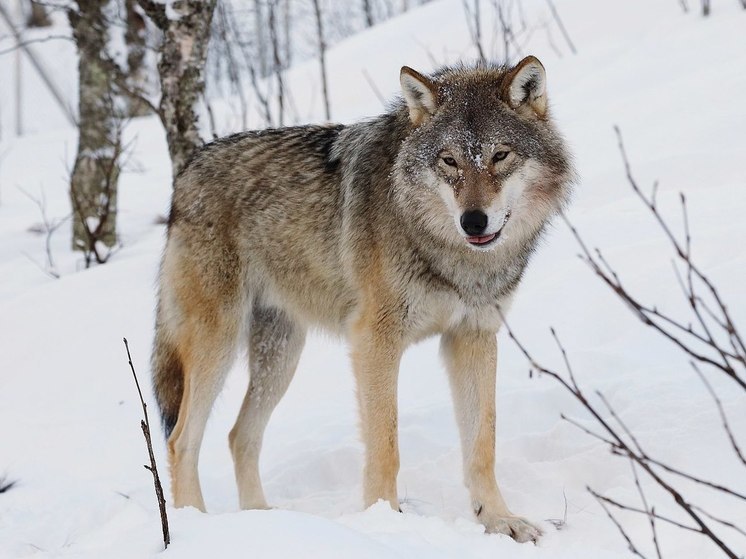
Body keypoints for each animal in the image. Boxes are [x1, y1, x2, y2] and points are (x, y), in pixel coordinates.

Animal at [150, 55, 568, 544]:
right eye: (449, 161)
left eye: (500, 155)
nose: (473, 220)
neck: (449, 254)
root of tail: (187, 171)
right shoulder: (375, 340)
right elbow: (385, 444)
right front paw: (386, 522)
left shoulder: (473, 337)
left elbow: (483, 443)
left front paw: (499, 521)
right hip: (218, 344)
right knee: (181, 440)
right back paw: (196, 527)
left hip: (281, 356)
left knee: (240, 436)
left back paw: (265, 521)